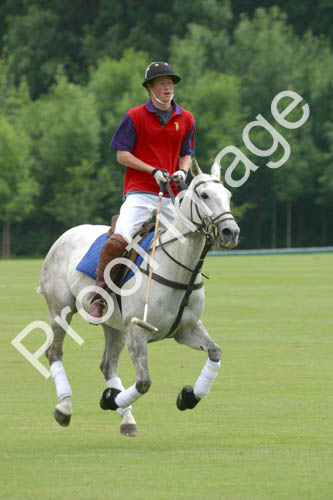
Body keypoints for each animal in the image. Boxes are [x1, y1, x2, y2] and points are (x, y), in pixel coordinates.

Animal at [40, 158, 239, 436]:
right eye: (204, 195)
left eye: (228, 196)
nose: (231, 232)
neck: (177, 268)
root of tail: (65, 234)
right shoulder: (137, 331)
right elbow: (144, 382)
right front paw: (110, 399)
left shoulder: (186, 329)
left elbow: (215, 352)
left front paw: (187, 396)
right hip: (60, 310)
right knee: (54, 353)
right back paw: (65, 408)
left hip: (114, 324)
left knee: (107, 364)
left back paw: (127, 420)